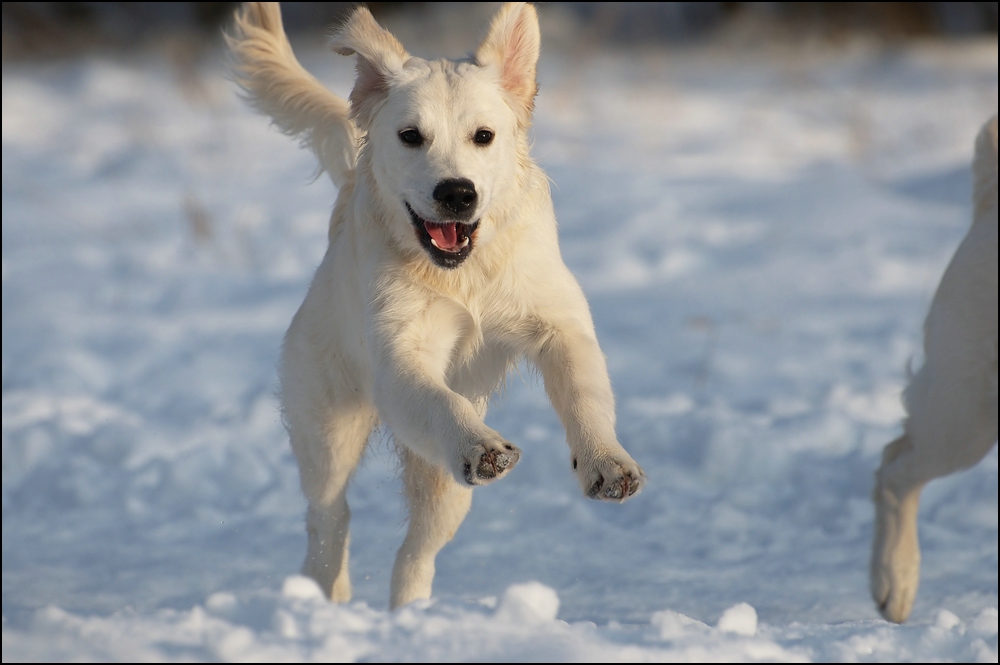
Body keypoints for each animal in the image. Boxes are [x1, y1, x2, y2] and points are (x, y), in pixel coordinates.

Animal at [228, 2, 648, 608]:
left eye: (484, 136)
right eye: (410, 136)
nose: (456, 193)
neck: (464, 274)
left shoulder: (559, 323)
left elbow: (584, 393)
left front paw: (607, 463)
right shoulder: (402, 358)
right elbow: (440, 402)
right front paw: (482, 446)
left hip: (443, 487)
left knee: (414, 554)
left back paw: (411, 616)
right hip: (327, 427)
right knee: (329, 517)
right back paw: (324, 594)